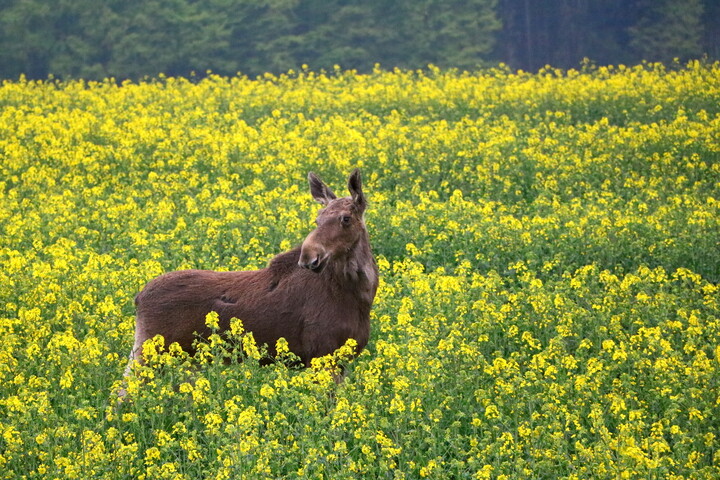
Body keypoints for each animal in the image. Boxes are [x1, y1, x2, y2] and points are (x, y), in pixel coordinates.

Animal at [124, 169, 380, 378]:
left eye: (346, 218)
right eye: (317, 219)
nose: (309, 257)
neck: (361, 293)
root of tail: (138, 298)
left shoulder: (340, 360)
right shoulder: (322, 354)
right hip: (147, 353)